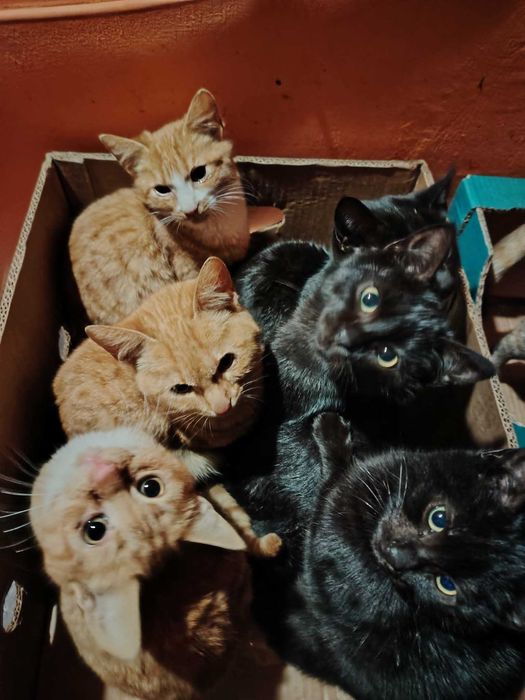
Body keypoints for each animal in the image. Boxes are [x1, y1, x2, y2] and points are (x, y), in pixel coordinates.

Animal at [231, 413, 525, 700]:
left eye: (447, 585)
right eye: (439, 517)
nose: (395, 553)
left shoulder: (329, 527)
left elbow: (334, 484)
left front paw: (329, 428)